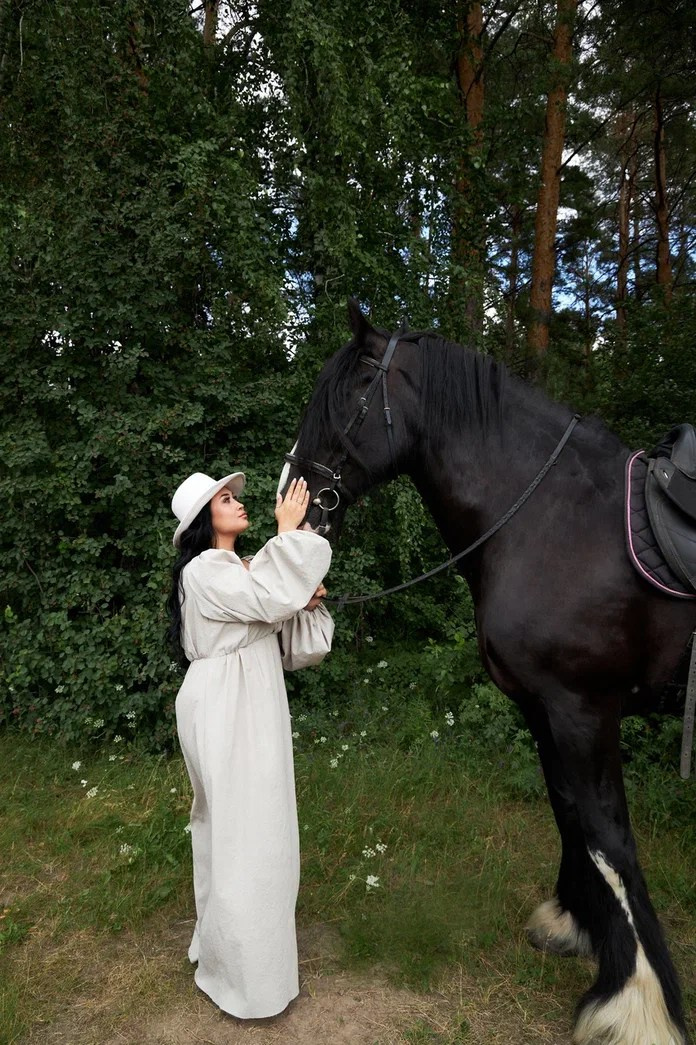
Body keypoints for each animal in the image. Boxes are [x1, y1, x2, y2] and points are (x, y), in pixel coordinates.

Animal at [279, 299, 696, 1045]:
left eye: (348, 396)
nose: (292, 499)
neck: (554, 520)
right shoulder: (543, 707)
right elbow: (570, 815)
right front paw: (574, 926)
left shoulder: (585, 710)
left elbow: (611, 836)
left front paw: (634, 1006)